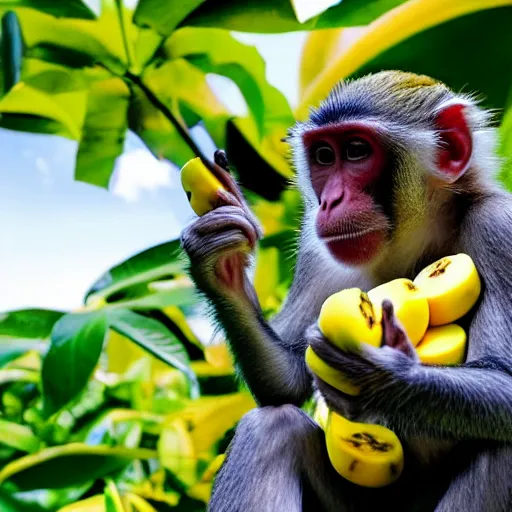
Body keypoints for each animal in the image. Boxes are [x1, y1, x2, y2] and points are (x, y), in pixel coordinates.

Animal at [181, 72, 512, 512]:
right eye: (324, 156)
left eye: (356, 151)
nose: (329, 201)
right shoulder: (316, 248)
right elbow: (286, 382)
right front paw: (218, 258)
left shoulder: (500, 229)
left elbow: (505, 382)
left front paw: (377, 377)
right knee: (273, 428)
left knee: (502, 444)